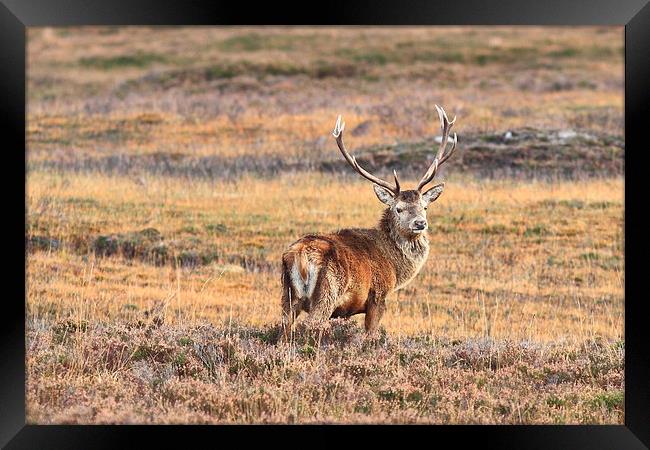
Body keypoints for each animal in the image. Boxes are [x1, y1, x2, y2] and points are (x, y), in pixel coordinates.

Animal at [278, 106, 456, 338]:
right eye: (398, 209)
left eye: (424, 207)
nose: (419, 223)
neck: (395, 267)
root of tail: (298, 255)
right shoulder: (378, 295)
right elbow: (371, 333)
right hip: (327, 292)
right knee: (311, 324)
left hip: (288, 294)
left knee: (283, 328)